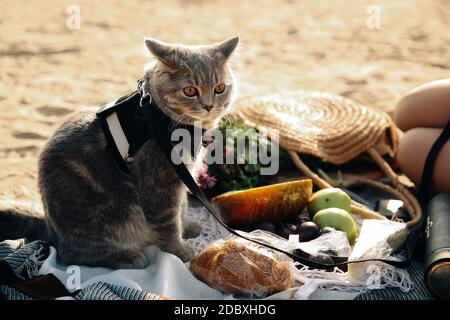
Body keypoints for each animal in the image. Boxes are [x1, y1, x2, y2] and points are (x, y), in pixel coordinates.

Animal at [0, 36, 239, 268]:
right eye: (190, 91)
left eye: (219, 88)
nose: (209, 105)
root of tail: (51, 229)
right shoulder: (160, 184)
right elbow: (168, 222)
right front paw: (178, 249)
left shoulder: (181, 178)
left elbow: (181, 208)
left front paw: (187, 227)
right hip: (107, 216)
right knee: (72, 255)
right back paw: (128, 257)